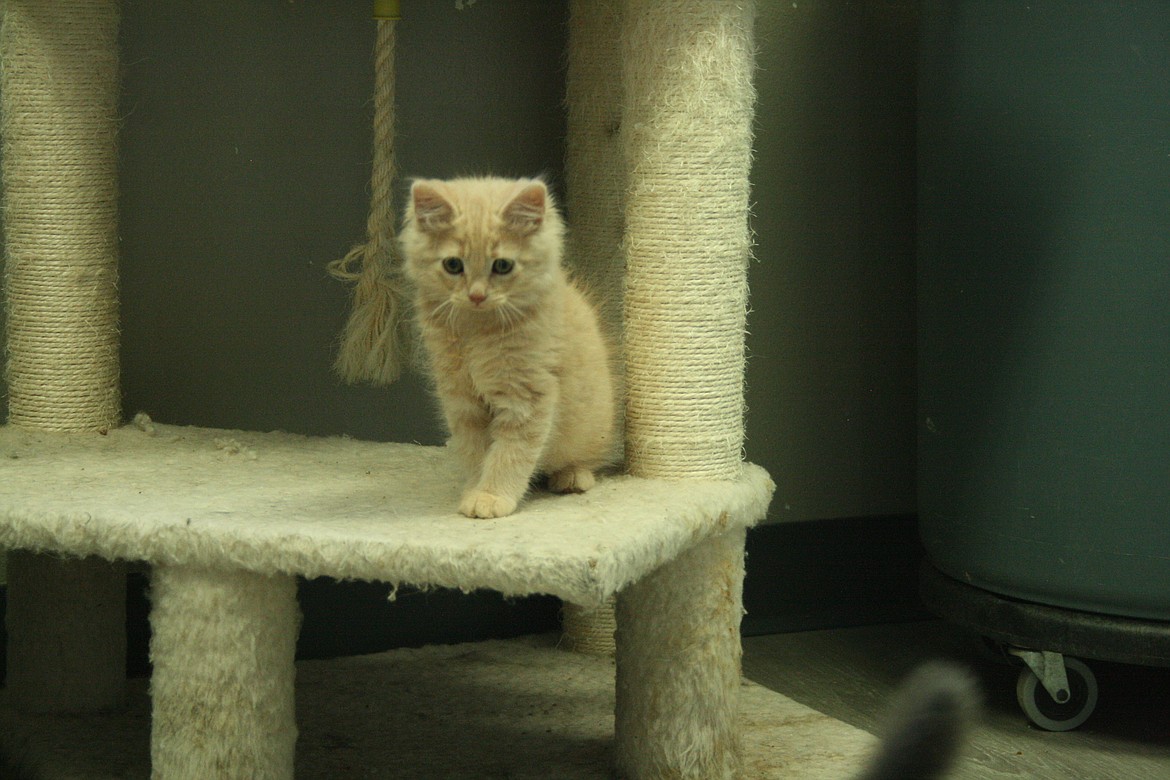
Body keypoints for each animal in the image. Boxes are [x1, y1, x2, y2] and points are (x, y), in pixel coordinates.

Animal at [400, 176, 617, 519]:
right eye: (453, 265)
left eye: (502, 266)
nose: (476, 295)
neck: (477, 332)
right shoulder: (461, 400)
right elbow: (476, 453)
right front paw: (475, 489)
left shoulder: (528, 395)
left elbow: (511, 453)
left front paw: (491, 496)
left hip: (593, 423)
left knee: (587, 459)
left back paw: (572, 477)